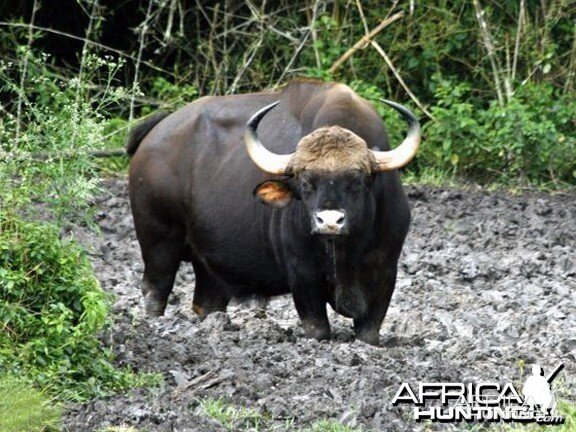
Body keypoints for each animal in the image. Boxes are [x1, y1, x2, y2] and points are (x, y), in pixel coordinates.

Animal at [128, 79, 420, 346]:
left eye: (357, 181)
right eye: (306, 183)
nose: (329, 221)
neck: (345, 251)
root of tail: (153, 135)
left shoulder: (386, 271)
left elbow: (369, 332)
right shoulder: (302, 273)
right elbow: (317, 329)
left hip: (207, 262)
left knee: (207, 302)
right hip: (158, 241)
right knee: (156, 290)